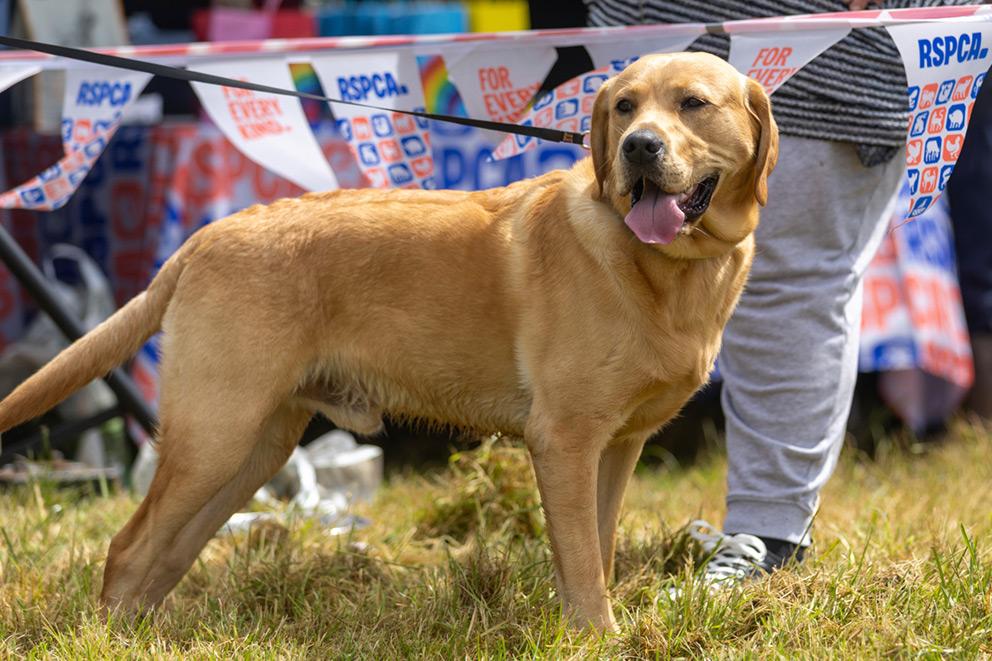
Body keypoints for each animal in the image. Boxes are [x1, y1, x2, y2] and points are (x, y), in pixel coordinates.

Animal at [0, 52, 776, 628]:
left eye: (693, 104)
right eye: (623, 107)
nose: (639, 147)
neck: (668, 269)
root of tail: (206, 236)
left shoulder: (616, 446)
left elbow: (599, 551)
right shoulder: (565, 439)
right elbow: (584, 562)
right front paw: (596, 638)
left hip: (251, 448)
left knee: (164, 552)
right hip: (214, 433)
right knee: (129, 547)